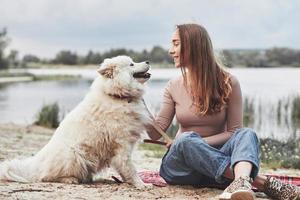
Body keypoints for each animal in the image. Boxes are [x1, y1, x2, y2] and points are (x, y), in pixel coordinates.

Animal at [0, 55, 152, 188]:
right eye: (131, 64)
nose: (148, 61)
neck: (117, 96)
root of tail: (35, 167)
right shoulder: (122, 146)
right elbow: (130, 169)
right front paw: (141, 185)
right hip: (74, 155)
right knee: (46, 177)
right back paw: (70, 179)